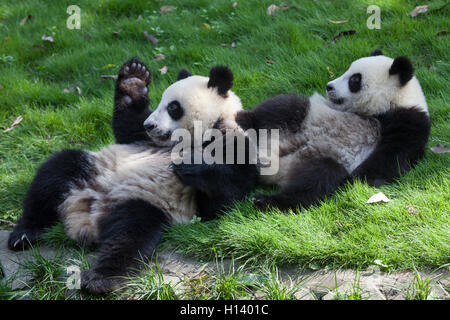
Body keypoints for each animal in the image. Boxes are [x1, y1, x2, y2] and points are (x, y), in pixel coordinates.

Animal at [7, 57, 256, 292]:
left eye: (173, 107)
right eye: (160, 102)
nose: (150, 125)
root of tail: (87, 211)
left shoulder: (232, 139)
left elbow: (226, 195)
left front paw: (191, 166)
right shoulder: (142, 140)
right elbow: (128, 126)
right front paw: (133, 79)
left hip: (145, 201)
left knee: (130, 235)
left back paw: (100, 279)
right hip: (92, 169)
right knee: (55, 173)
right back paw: (24, 234)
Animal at [236, 49, 428, 210]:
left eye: (354, 80)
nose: (329, 86)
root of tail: (273, 160)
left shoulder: (410, 122)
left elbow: (391, 157)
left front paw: (358, 178)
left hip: (316, 160)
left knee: (316, 179)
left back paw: (266, 200)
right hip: (303, 118)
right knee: (288, 106)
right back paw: (243, 120)